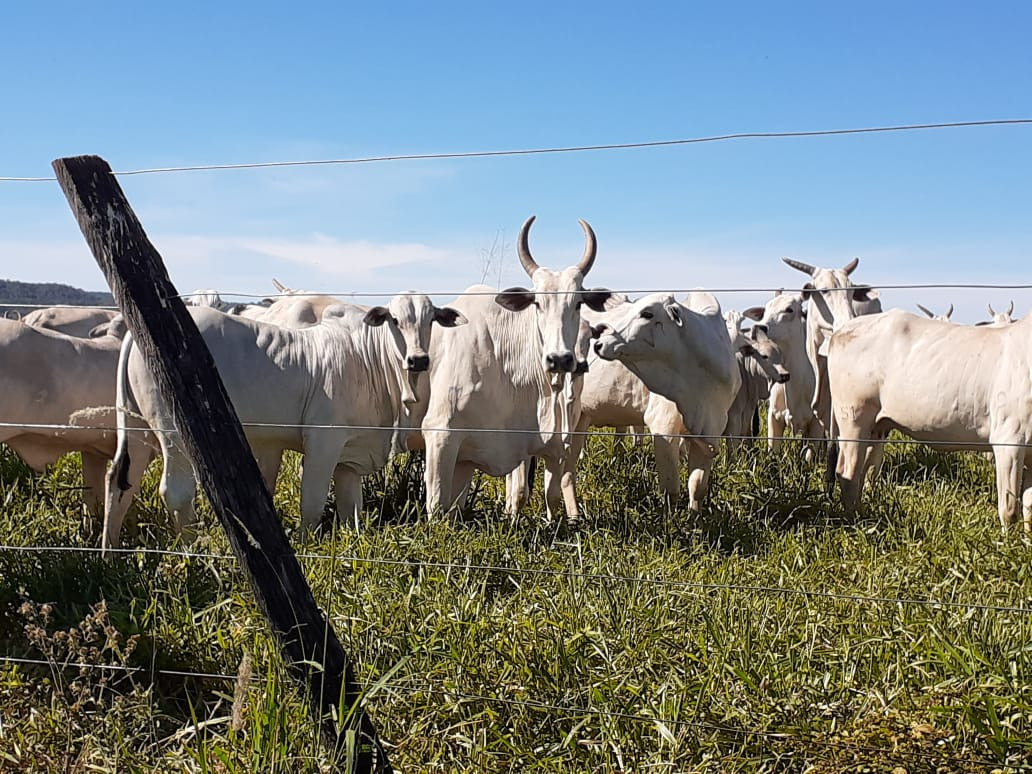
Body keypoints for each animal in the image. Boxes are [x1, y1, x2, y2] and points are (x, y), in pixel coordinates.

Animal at [105, 293, 464, 553]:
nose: (418, 359)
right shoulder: (322, 442)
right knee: (176, 491)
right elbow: (313, 502)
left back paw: (110, 551)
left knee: (121, 482)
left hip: (137, 429)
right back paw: (194, 551)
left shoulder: (349, 456)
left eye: (431, 320)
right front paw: (307, 547)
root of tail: (134, 334)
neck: (368, 357)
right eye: (394, 320)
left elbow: (351, 512)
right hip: (175, 433)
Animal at [416, 215, 610, 524]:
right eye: (537, 303)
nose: (560, 359)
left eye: (578, 303)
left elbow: (547, 496)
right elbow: (437, 508)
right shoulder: (440, 435)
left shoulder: (551, 447)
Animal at [590, 293, 743, 511]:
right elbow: (671, 489)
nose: (598, 344)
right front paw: (670, 518)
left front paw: (695, 515)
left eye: (647, 313)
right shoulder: (664, 427)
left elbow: (697, 485)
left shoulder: (709, 432)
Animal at [825, 311, 1032, 532]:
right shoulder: (1009, 440)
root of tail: (841, 331)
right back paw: (855, 521)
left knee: (866, 470)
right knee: (848, 473)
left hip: (876, 428)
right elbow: (1009, 511)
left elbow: (1029, 508)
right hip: (853, 418)